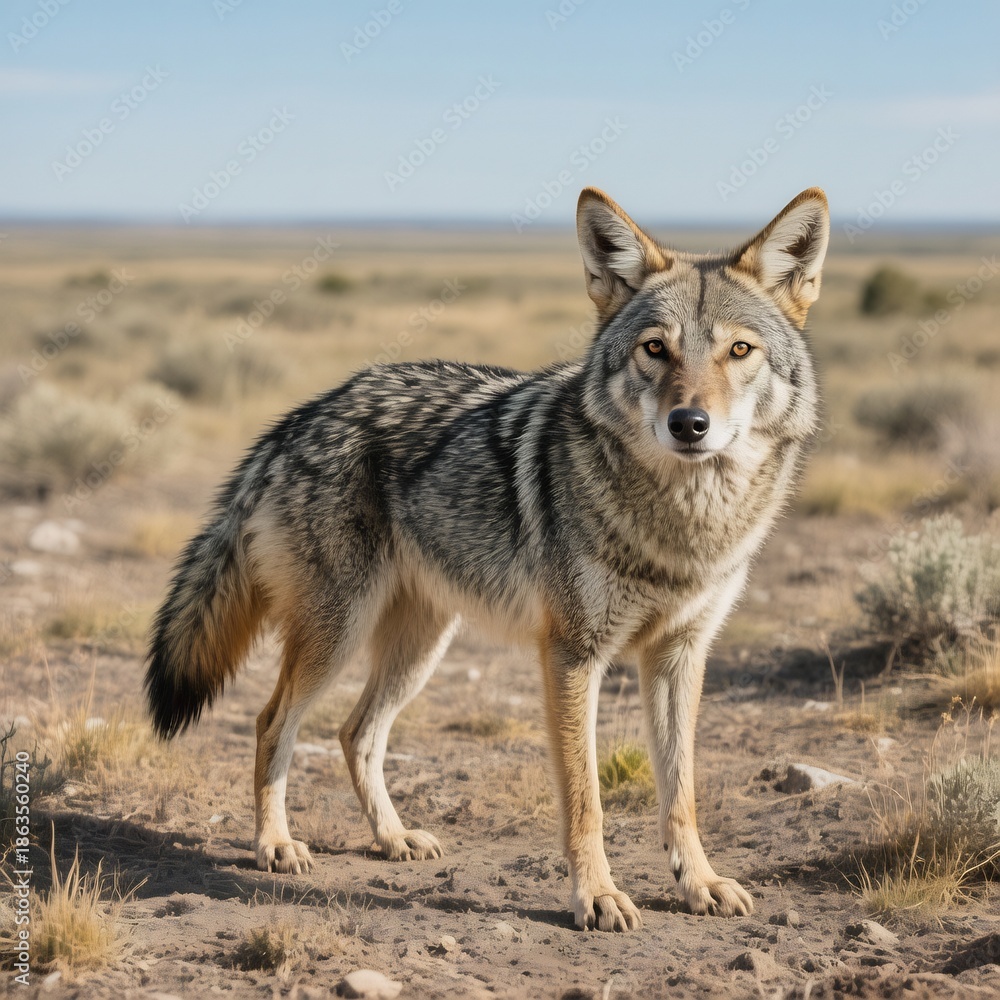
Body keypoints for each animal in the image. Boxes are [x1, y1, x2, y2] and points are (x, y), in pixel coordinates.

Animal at [146, 186, 829, 931]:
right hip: (339, 634)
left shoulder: (680, 654)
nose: (690, 425)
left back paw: (392, 838)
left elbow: (681, 793)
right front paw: (596, 897)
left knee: (357, 733)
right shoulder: (571, 656)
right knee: (274, 723)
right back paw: (276, 845)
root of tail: (303, 415)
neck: (684, 523)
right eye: (655, 349)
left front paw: (699, 883)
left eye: (739, 350)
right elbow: (585, 801)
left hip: (419, 647)